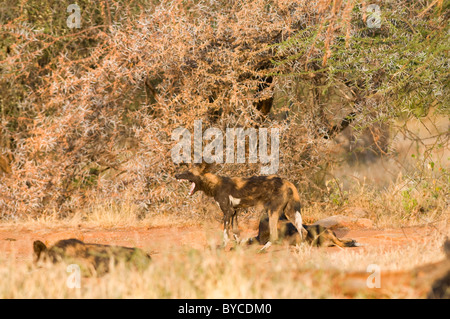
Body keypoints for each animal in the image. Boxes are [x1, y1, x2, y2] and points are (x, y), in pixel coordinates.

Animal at [174, 164, 308, 246]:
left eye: (188, 172)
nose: (176, 175)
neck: (214, 184)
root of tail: (287, 182)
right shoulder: (234, 211)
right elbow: (235, 232)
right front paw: (238, 245)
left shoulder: (227, 212)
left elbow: (226, 233)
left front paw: (223, 247)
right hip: (290, 212)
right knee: (303, 231)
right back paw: (301, 247)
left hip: (272, 212)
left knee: (274, 236)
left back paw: (262, 250)